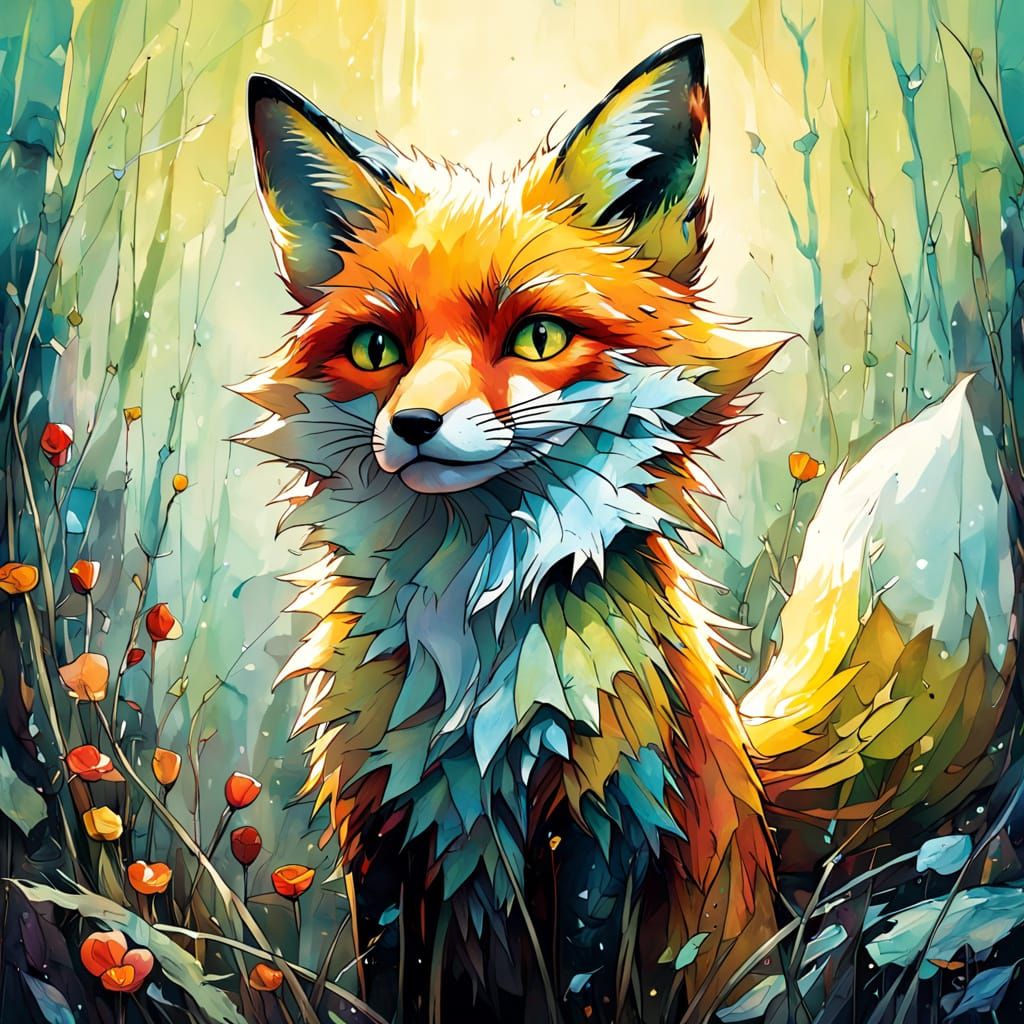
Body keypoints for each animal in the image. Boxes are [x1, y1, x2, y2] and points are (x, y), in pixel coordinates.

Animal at [239, 36, 1012, 1024]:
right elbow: (392, 988)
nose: (412, 426)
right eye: (378, 350)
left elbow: (586, 986)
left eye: (536, 337)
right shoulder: (382, 825)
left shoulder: (603, 820)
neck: (471, 632)